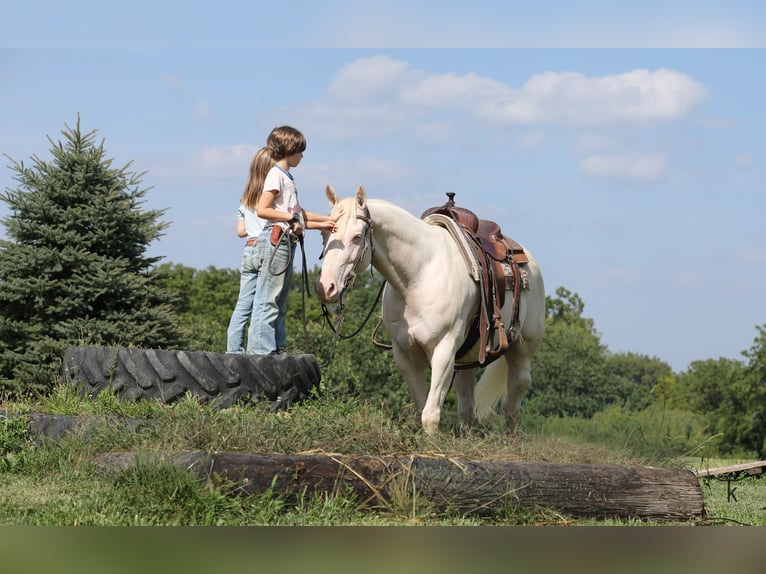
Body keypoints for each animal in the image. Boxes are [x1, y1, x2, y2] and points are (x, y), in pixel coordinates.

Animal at [315, 185, 546, 436]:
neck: (419, 275)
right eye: (323, 235)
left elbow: (430, 415)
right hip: (466, 358)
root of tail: (528, 260)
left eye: (357, 237)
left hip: (521, 351)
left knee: (513, 401)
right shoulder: (405, 356)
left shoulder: (443, 351)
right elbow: (420, 410)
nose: (325, 287)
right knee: (467, 405)